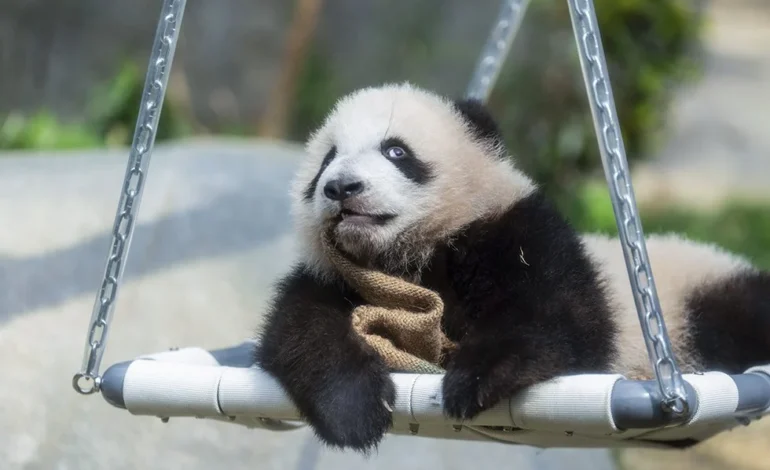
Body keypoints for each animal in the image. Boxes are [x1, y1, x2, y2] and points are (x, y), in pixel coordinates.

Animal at [255, 82, 770, 453]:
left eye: (396, 151)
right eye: (326, 159)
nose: (341, 187)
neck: (408, 255)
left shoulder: (518, 234)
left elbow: (559, 317)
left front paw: (473, 379)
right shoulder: (337, 277)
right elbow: (300, 329)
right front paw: (355, 408)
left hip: (701, 295)